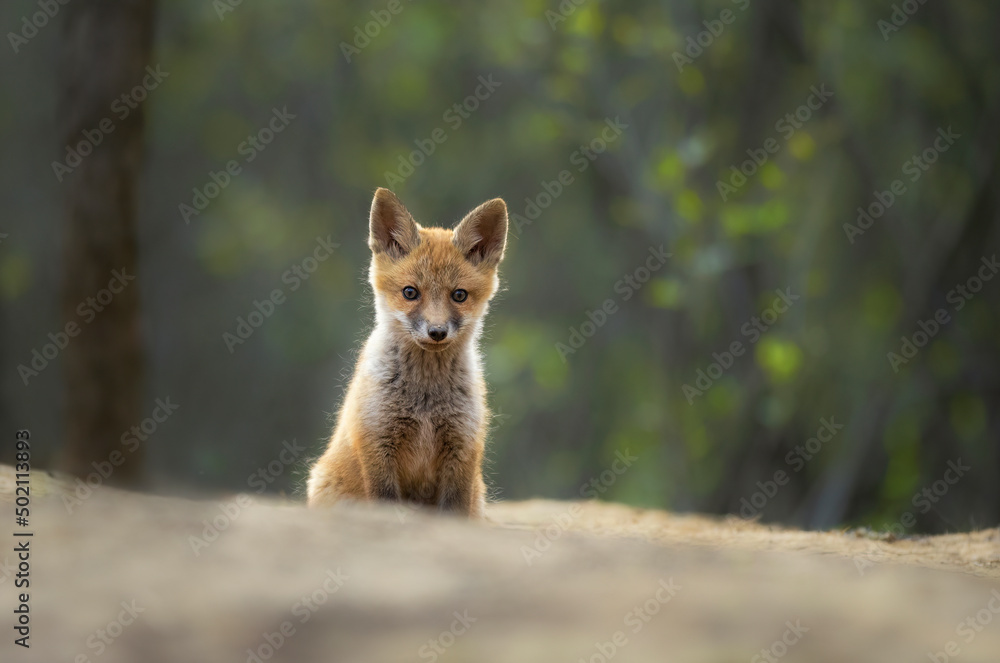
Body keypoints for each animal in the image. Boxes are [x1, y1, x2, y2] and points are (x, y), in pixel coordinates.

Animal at [306, 188, 508, 518]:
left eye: (459, 295)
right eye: (410, 293)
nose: (437, 332)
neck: (425, 400)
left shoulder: (463, 446)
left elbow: (455, 512)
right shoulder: (377, 442)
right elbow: (385, 503)